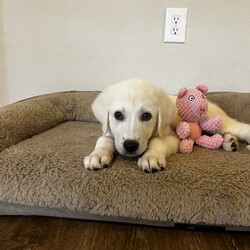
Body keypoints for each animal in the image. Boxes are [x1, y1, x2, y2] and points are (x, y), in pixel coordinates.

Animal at [84, 79, 250, 173]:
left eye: (147, 116)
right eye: (118, 115)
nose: (130, 146)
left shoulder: (171, 136)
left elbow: (158, 142)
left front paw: (151, 157)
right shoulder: (108, 132)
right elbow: (103, 140)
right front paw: (97, 155)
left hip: (217, 122)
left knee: (240, 128)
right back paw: (230, 142)